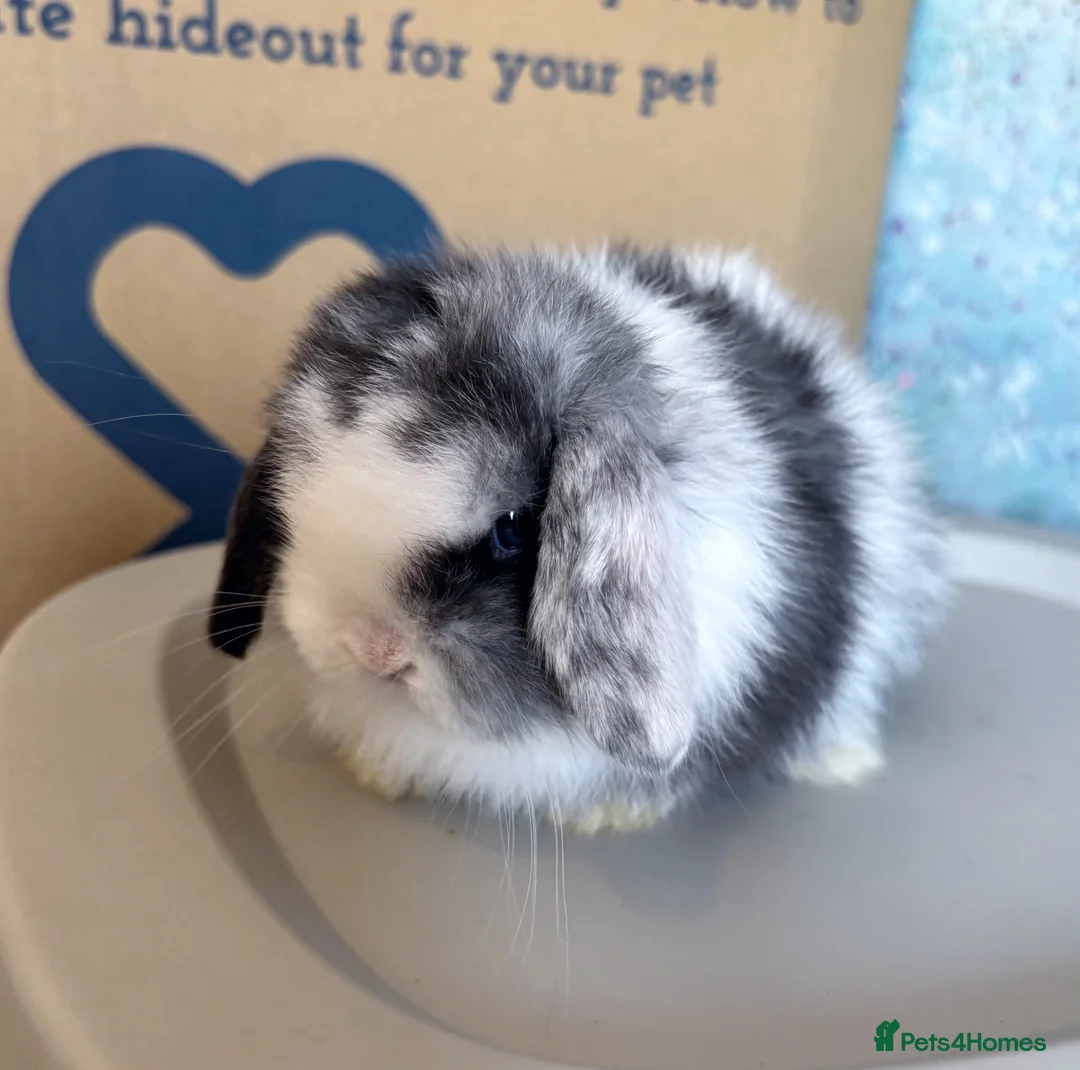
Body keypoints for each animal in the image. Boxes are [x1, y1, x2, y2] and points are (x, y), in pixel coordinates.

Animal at [208, 242, 948, 835]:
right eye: (294, 488)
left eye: (513, 529)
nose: (373, 651)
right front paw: (373, 772)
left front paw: (607, 816)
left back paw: (844, 764)